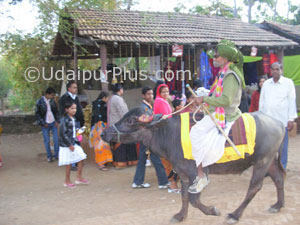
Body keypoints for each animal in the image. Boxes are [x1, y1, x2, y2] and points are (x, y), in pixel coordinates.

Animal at [101, 108, 286, 224]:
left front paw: (212, 210)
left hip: (262, 161)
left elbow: (194, 199)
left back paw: (234, 215)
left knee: (254, 187)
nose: (104, 133)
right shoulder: (182, 173)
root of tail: (278, 123)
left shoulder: (195, 173)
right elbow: (184, 196)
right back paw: (278, 205)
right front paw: (180, 215)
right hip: (269, 161)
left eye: (130, 120)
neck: (168, 134)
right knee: (278, 178)